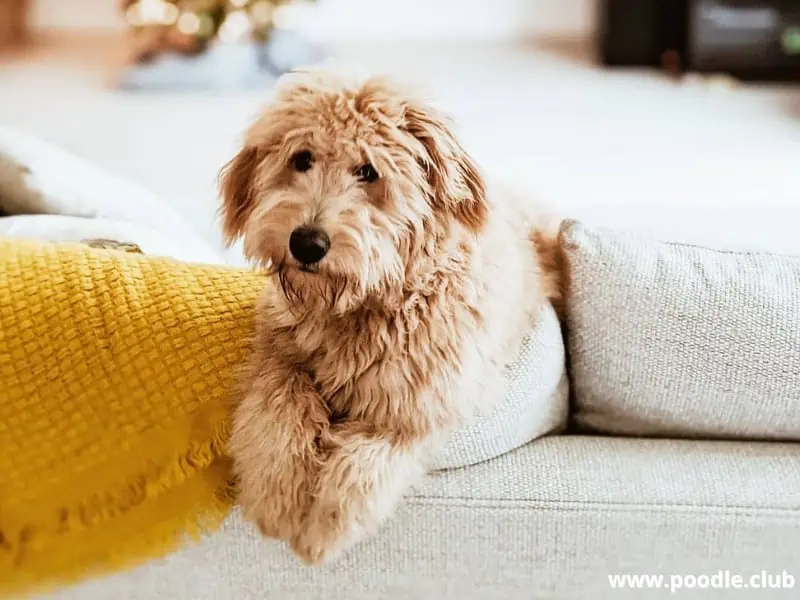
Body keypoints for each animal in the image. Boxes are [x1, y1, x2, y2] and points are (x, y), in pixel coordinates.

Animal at [216, 68, 560, 564]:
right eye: (302, 159)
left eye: (368, 171)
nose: (306, 243)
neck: (367, 302)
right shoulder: (277, 357)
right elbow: (279, 408)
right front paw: (277, 498)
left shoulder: (417, 402)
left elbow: (366, 458)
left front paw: (325, 527)